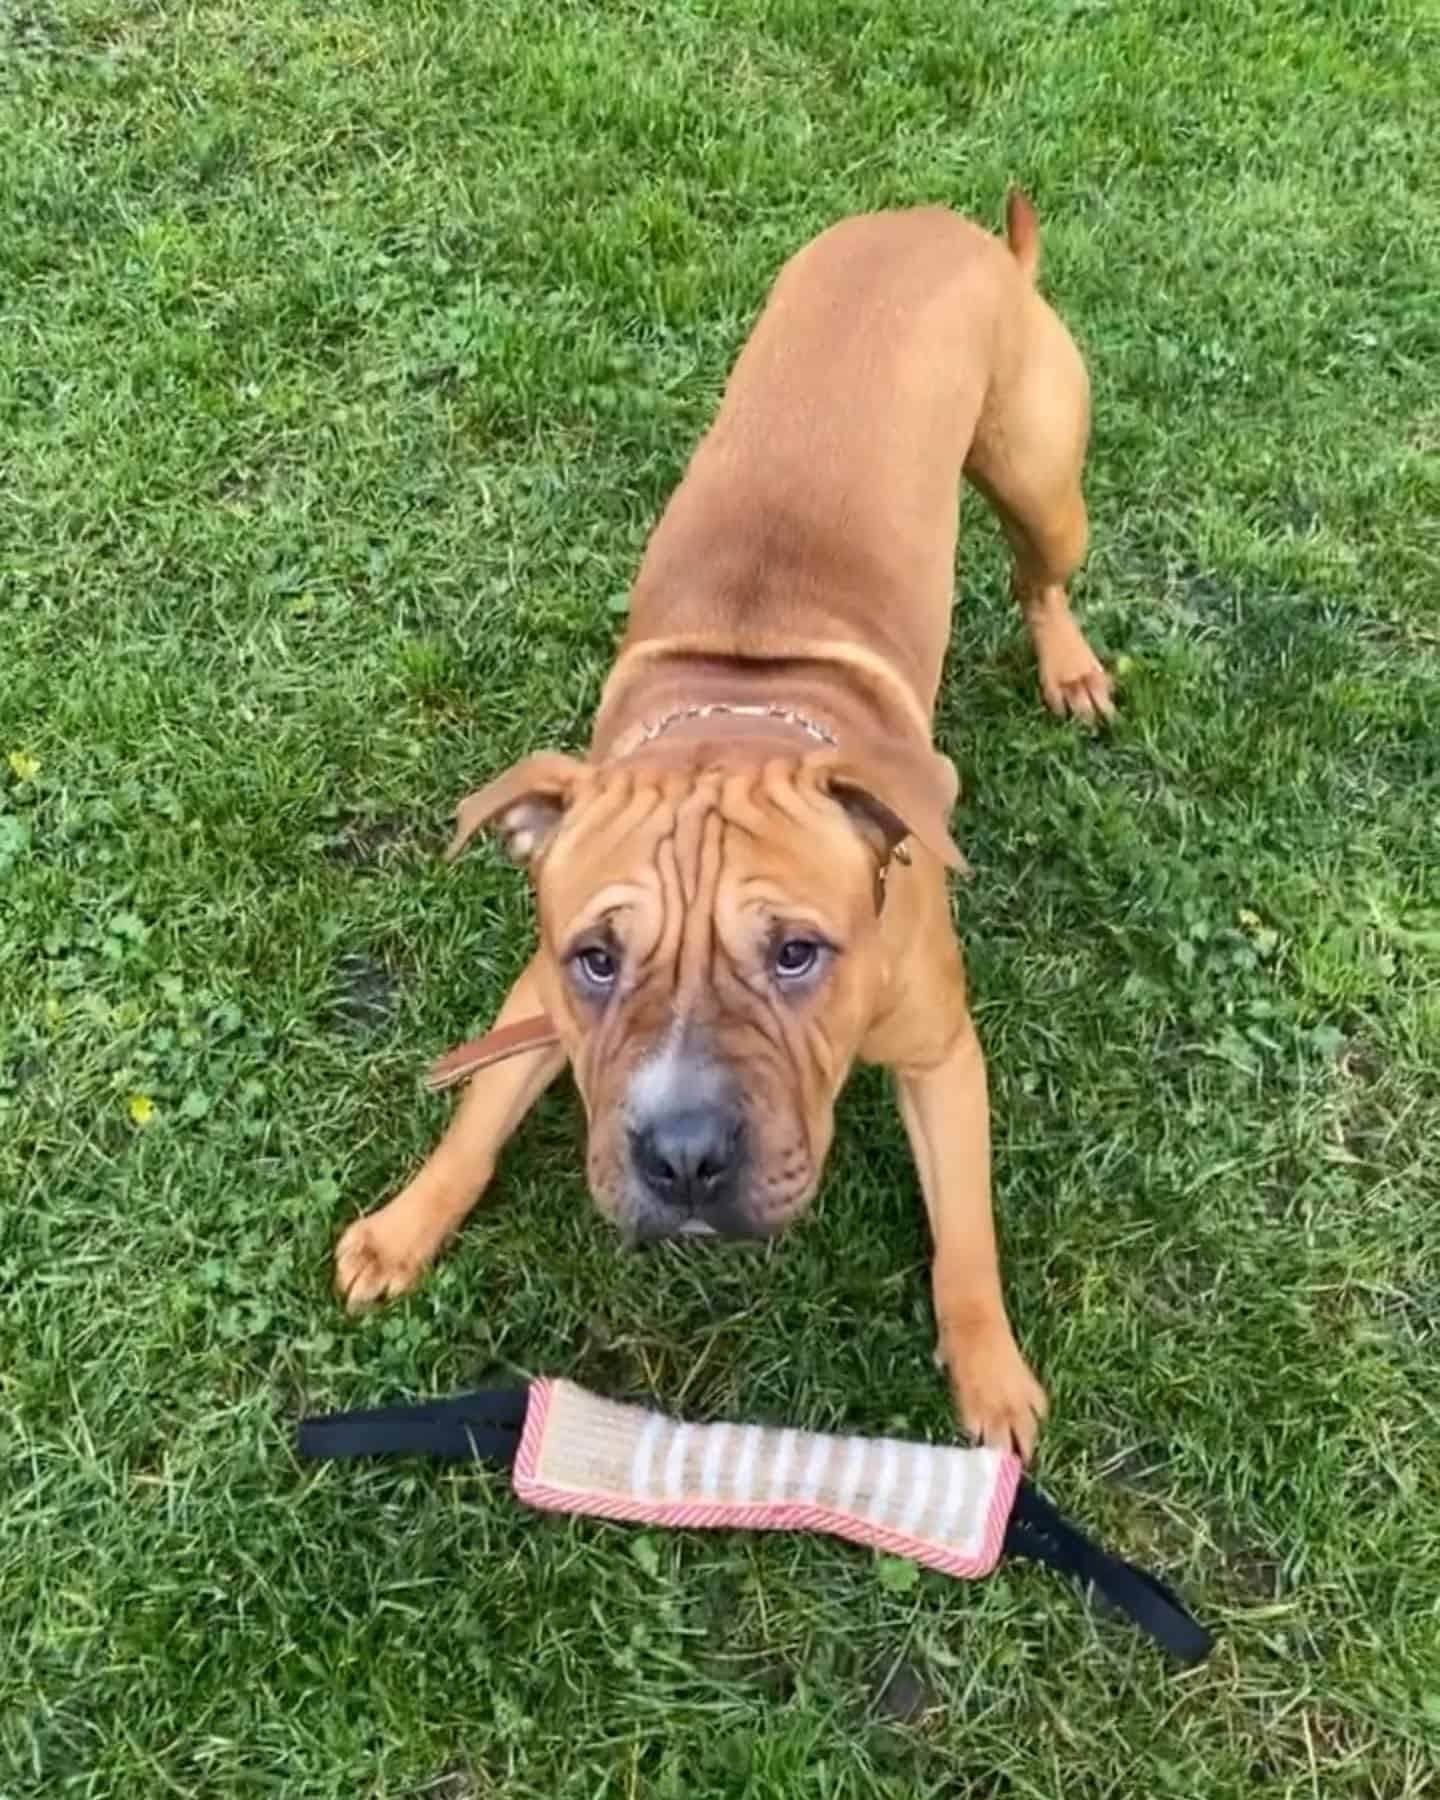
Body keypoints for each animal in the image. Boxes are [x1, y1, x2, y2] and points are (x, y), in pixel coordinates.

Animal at [334, 200, 1116, 1461]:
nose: (685, 1158)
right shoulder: (536, 997)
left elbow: (966, 1240)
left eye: (797, 953)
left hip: (1045, 489)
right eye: (597, 961)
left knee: (1040, 577)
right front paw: (406, 1225)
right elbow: (479, 1114)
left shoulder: (943, 1056)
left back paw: (1070, 664)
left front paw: (990, 1376)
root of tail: (944, 225)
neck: (741, 709)